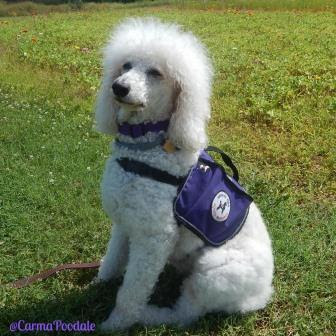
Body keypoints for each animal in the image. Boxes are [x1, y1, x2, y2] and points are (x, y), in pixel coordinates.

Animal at [94, 18, 272, 330]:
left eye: (155, 73)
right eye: (125, 65)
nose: (118, 87)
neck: (144, 148)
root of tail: (262, 295)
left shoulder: (153, 238)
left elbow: (132, 290)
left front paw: (116, 324)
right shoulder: (125, 220)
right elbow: (115, 255)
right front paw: (102, 278)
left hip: (212, 273)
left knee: (185, 314)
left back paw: (149, 316)